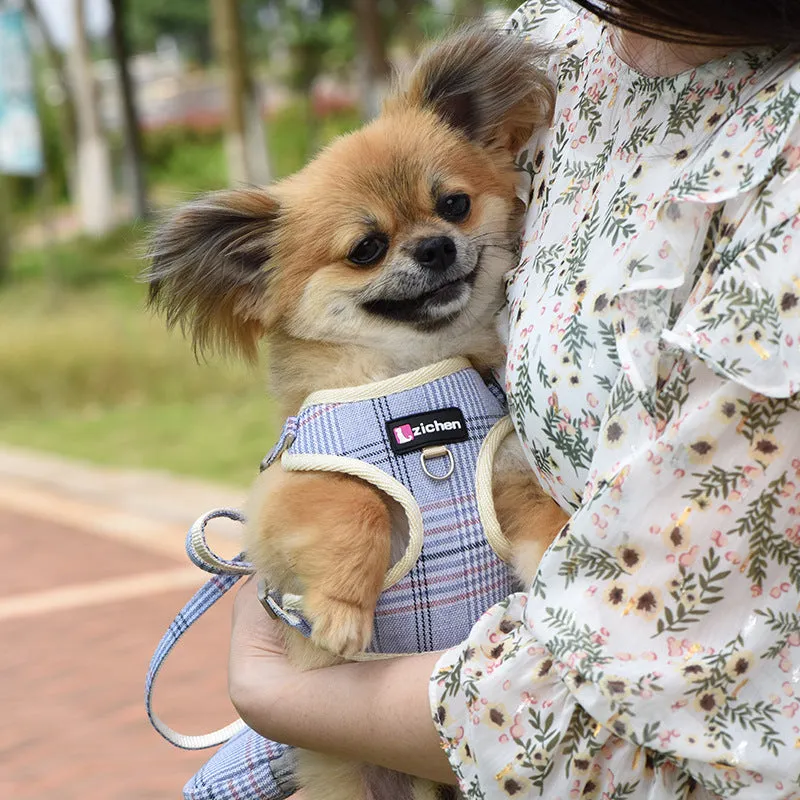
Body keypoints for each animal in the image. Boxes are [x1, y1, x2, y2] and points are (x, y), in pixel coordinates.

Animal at [147, 25, 564, 800]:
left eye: (454, 205)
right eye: (366, 248)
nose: (434, 246)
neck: (409, 382)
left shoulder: (504, 472)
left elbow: (535, 518)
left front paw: (559, 553)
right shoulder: (292, 493)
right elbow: (358, 512)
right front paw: (342, 613)